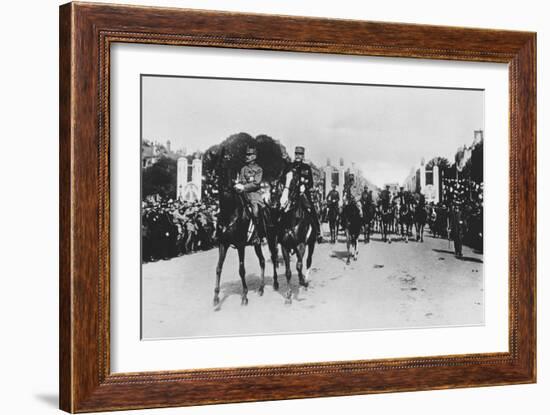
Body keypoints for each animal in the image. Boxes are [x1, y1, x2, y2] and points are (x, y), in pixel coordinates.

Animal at [213, 151, 270, 308]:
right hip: (257, 244)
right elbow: (218, 268)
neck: (230, 211)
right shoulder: (223, 244)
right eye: (215, 165)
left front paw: (244, 296)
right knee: (262, 261)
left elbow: (241, 269)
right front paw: (216, 297)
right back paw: (261, 288)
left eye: (224, 166)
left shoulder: (240, 245)